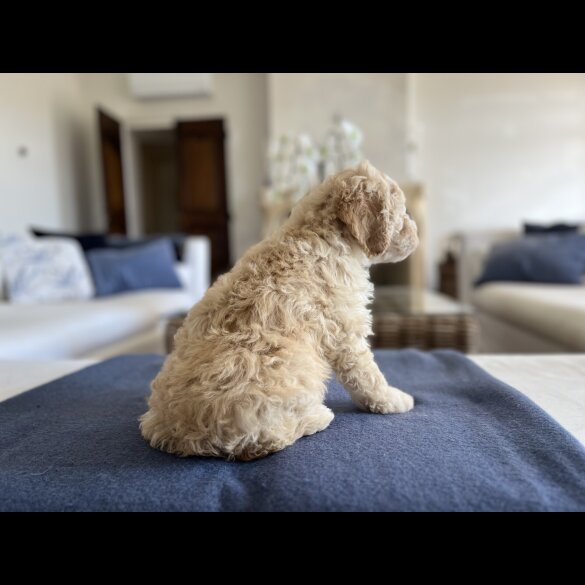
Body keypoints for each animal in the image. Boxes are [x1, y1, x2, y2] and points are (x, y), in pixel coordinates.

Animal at [140, 161, 418, 460]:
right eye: (402, 213)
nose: (416, 236)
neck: (326, 235)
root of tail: (181, 436)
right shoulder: (345, 333)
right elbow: (368, 376)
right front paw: (394, 399)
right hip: (283, 371)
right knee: (267, 438)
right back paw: (317, 417)